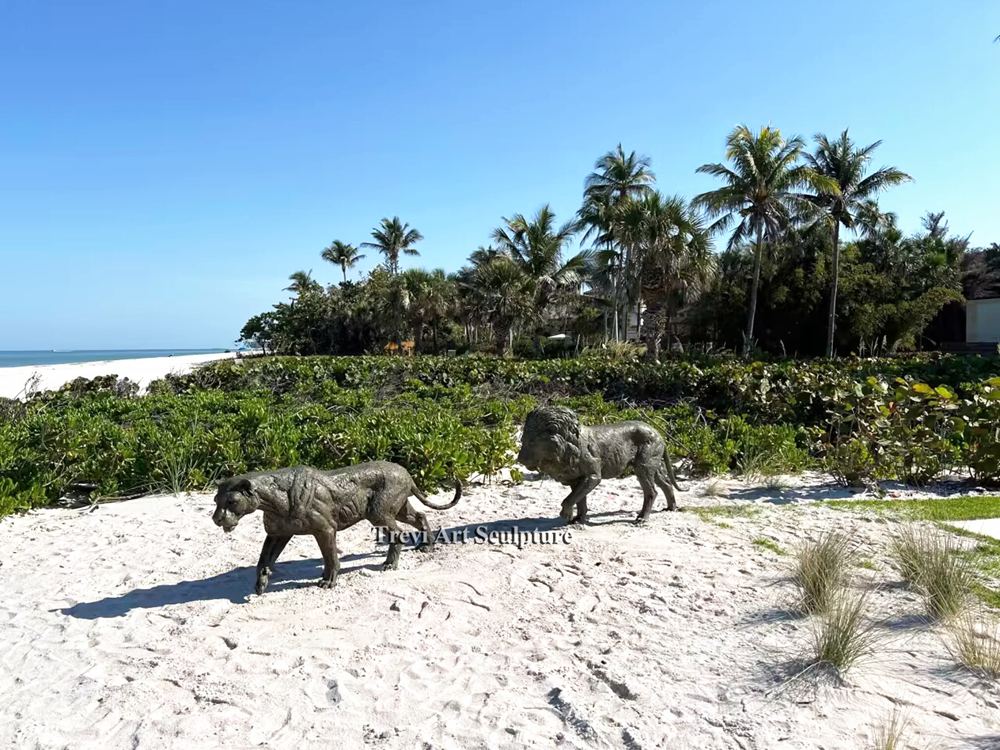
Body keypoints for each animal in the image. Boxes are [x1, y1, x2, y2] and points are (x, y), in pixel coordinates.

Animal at [212, 461, 461, 594]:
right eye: (216, 500)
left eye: (231, 501)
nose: (216, 519)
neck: (273, 500)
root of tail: (405, 472)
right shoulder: (277, 534)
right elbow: (263, 560)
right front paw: (261, 583)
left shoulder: (325, 530)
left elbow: (330, 556)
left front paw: (329, 581)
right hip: (398, 509)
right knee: (420, 516)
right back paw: (426, 546)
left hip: (379, 514)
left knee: (398, 533)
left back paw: (390, 564)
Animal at [516, 405, 680, 524]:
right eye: (523, 439)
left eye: (532, 442)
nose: (519, 460)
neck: (567, 446)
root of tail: (658, 433)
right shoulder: (576, 478)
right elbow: (579, 499)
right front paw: (577, 520)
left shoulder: (593, 475)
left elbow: (570, 499)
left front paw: (566, 514)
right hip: (652, 466)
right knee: (666, 484)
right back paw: (671, 508)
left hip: (644, 466)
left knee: (652, 492)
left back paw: (642, 518)